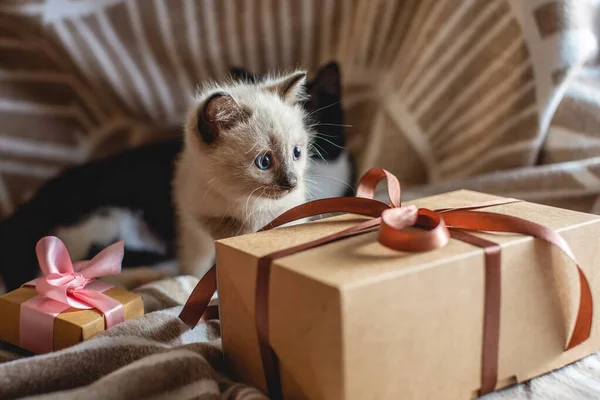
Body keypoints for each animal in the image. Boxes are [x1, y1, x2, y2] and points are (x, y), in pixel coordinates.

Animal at [0, 61, 356, 290]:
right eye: (264, 161)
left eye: (297, 153)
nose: (292, 182)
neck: (246, 204)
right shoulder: (195, 217)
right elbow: (204, 257)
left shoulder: (291, 213)